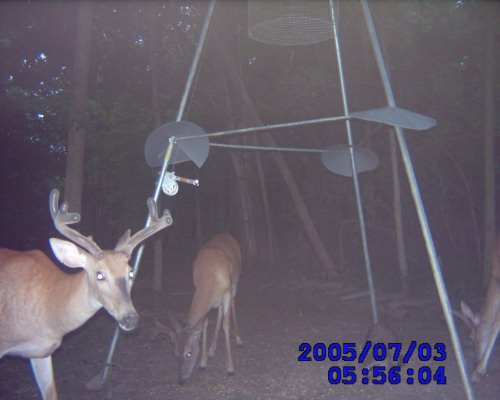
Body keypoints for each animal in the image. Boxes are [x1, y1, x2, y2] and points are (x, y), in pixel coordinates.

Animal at [162, 234, 242, 384]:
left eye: (189, 353)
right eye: (174, 353)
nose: (181, 379)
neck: (209, 276)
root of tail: (227, 235)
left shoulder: (227, 292)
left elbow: (226, 324)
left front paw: (230, 368)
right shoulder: (201, 291)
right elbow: (204, 324)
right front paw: (203, 363)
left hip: (235, 281)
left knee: (233, 304)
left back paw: (239, 339)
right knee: (220, 311)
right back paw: (211, 350)